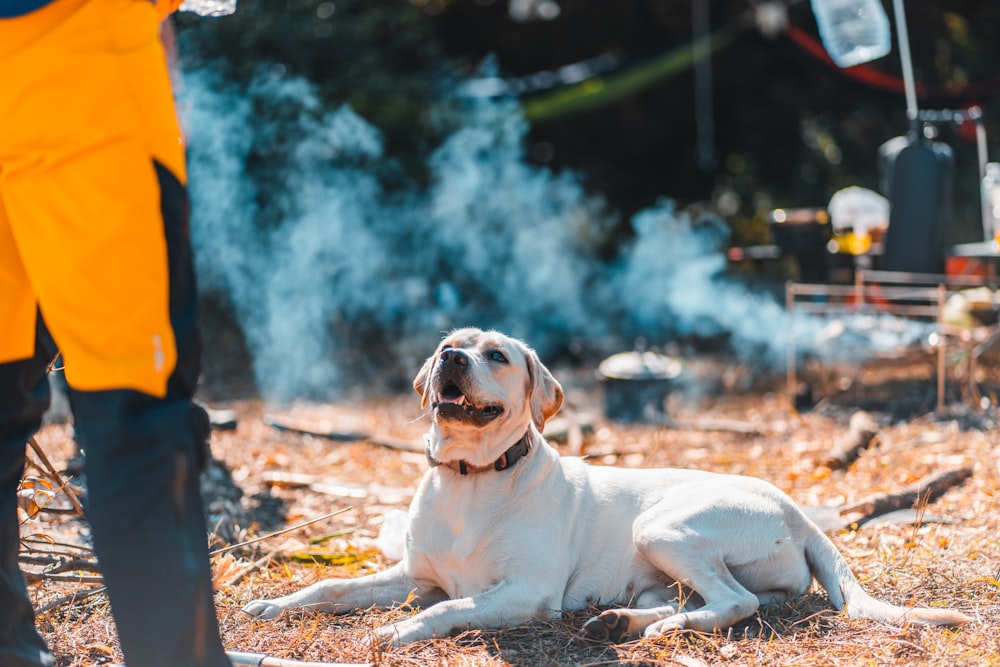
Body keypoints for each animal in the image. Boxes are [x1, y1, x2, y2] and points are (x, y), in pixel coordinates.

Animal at [246, 326, 972, 644]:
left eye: (496, 355)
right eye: (450, 344)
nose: (450, 358)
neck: (469, 479)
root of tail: (797, 510)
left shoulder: (525, 592)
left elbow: (449, 608)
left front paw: (396, 633)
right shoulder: (413, 573)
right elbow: (332, 587)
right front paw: (275, 605)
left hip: (664, 526)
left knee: (738, 602)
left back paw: (659, 632)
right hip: (657, 566)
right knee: (706, 599)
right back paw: (622, 620)